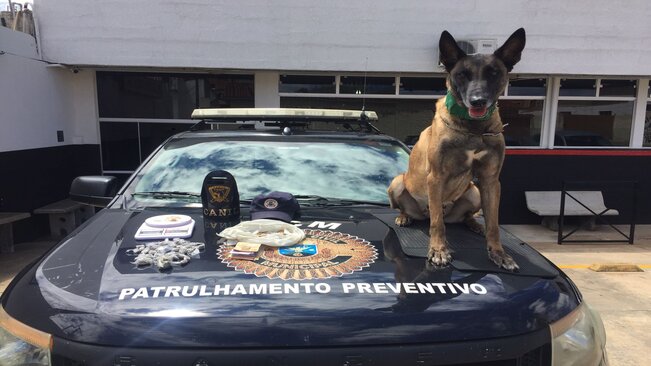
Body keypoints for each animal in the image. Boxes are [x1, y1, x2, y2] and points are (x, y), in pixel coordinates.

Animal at [390, 28, 528, 270]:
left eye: (493, 73)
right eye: (462, 74)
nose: (478, 101)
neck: (473, 129)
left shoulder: (491, 180)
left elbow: (494, 223)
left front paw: (499, 253)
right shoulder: (436, 176)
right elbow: (437, 223)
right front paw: (438, 250)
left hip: (474, 191)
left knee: (467, 217)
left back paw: (475, 224)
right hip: (398, 182)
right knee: (424, 214)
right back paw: (405, 217)